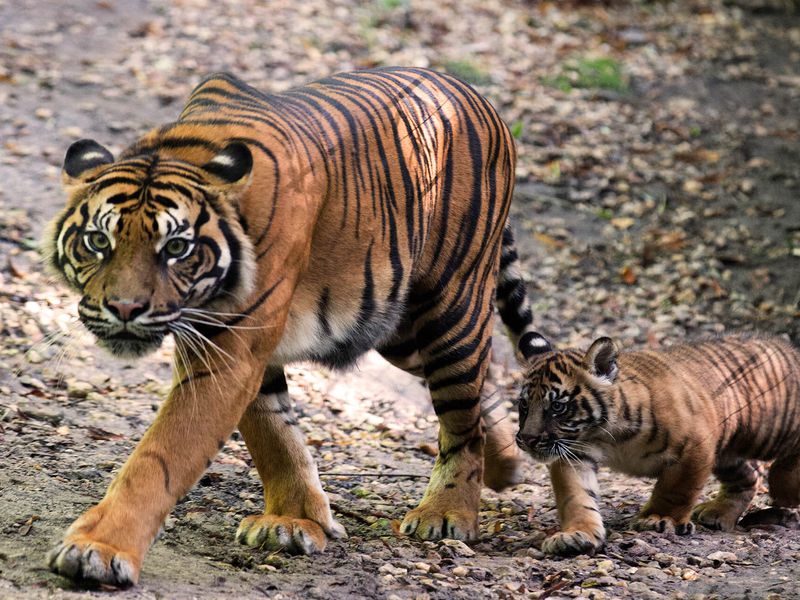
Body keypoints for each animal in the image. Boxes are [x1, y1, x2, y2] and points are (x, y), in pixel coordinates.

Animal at [42, 67, 542, 586]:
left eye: (176, 248)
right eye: (98, 241)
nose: (124, 308)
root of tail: (472, 92)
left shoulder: (229, 350)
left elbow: (160, 458)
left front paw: (97, 549)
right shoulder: (237, 349)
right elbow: (274, 434)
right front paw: (293, 520)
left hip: (450, 307)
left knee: (462, 416)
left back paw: (448, 513)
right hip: (400, 329)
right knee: (479, 383)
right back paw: (505, 468)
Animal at [515, 331, 800, 556]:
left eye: (557, 406)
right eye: (524, 405)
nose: (527, 439)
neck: (606, 433)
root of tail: (788, 348)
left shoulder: (695, 445)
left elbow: (674, 490)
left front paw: (658, 519)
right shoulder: (574, 453)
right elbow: (575, 497)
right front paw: (576, 535)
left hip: (765, 432)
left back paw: (785, 489)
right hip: (729, 454)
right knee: (750, 476)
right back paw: (719, 513)